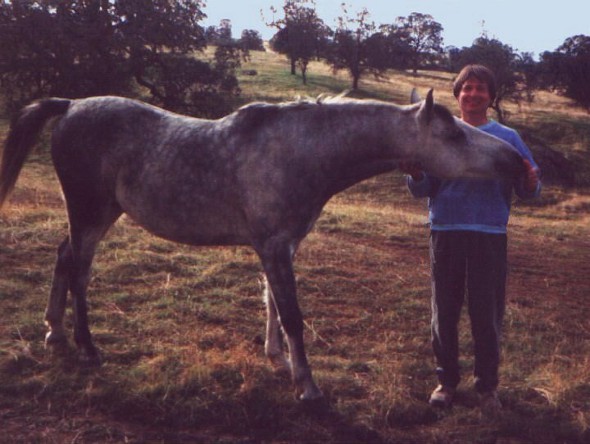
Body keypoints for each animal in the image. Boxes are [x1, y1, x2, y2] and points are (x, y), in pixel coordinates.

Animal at [0, 90, 528, 398]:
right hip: (90, 213)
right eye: (453, 132)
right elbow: (292, 313)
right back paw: (87, 347)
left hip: (99, 213)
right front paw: (307, 384)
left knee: (64, 258)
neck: (299, 151)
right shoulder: (273, 246)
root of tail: (71, 105)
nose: (516, 163)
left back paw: (54, 333)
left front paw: (278, 357)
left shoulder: (282, 246)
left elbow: (272, 302)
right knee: (79, 270)